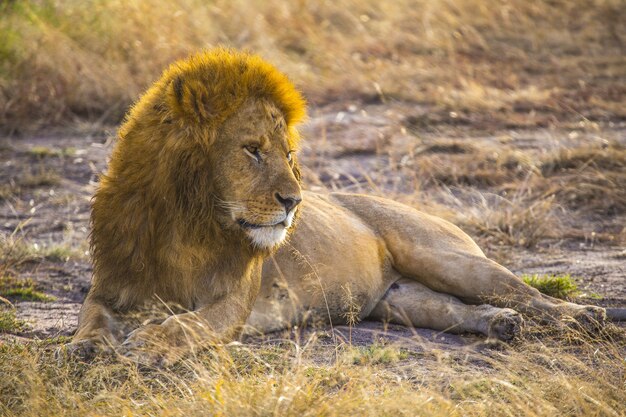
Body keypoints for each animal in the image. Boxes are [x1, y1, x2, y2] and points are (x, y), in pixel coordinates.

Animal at [73, 47, 604, 362]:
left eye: (289, 154)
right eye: (252, 149)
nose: (294, 201)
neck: (183, 221)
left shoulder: (232, 301)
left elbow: (188, 323)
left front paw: (150, 341)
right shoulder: (111, 286)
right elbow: (90, 318)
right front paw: (85, 348)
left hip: (447, 258)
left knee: (527, 293)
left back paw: (581, 318)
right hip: (400, 300)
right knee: (451, 309)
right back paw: (500, 324)